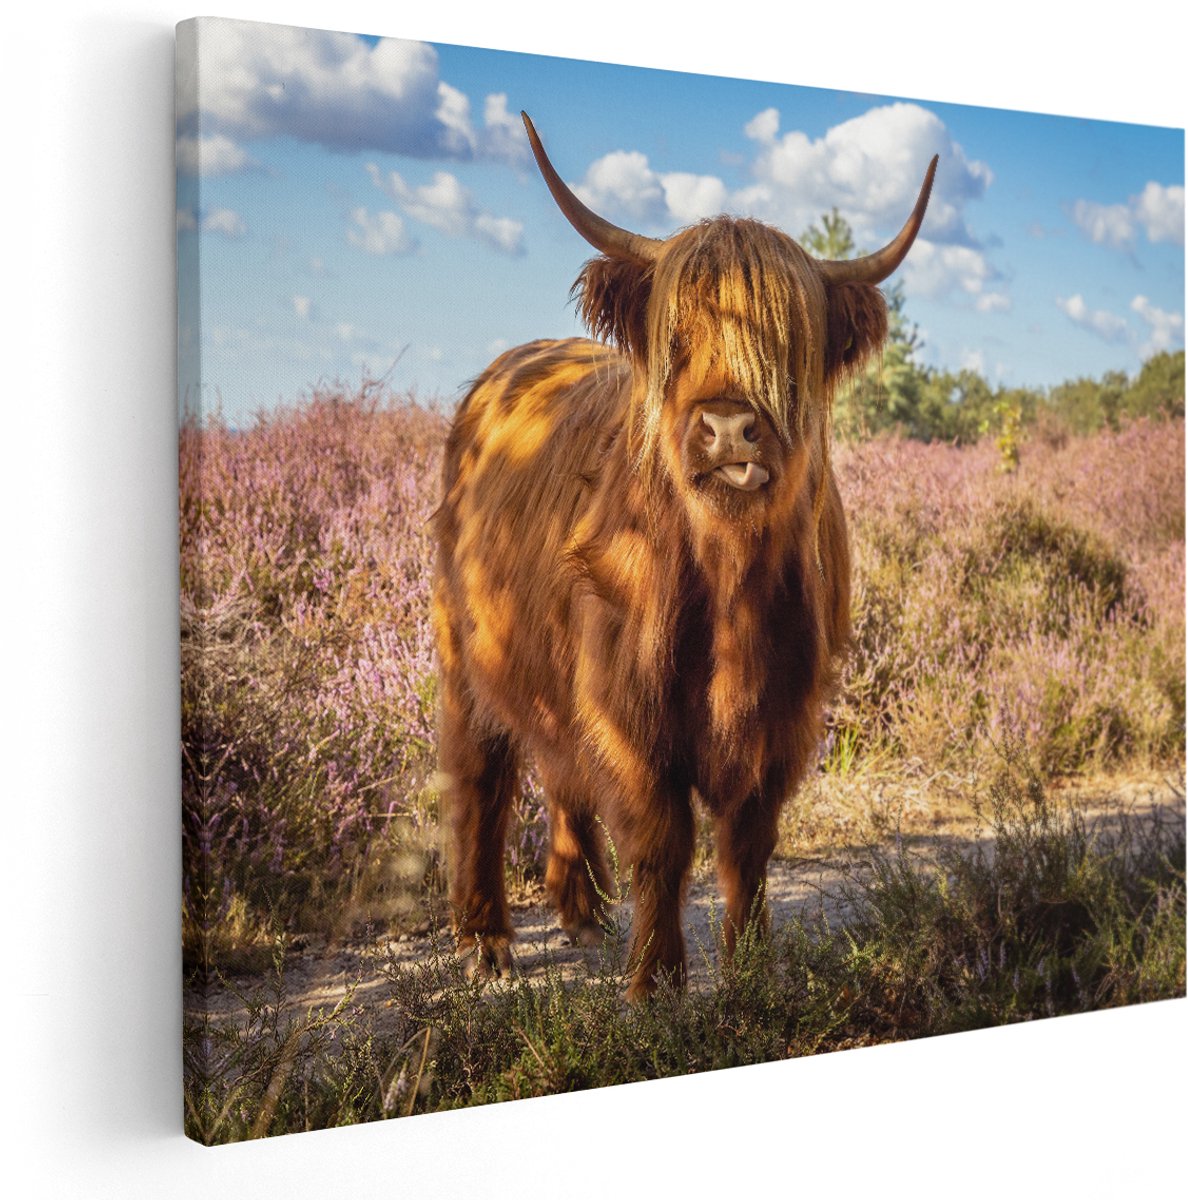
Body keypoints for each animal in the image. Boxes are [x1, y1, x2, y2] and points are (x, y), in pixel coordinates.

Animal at [433, 112, 936, 999]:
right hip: (467, 652)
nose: (730, 427)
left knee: (561, 772)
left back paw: (582, 914)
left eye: (788, 341)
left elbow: (748, 844)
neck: (729, 584)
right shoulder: (629, 709)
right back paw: (486, 941)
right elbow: (661, 841)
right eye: (680, 334)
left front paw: (750, 967)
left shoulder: (784, 713)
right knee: (481, 779)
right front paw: (657, 982)